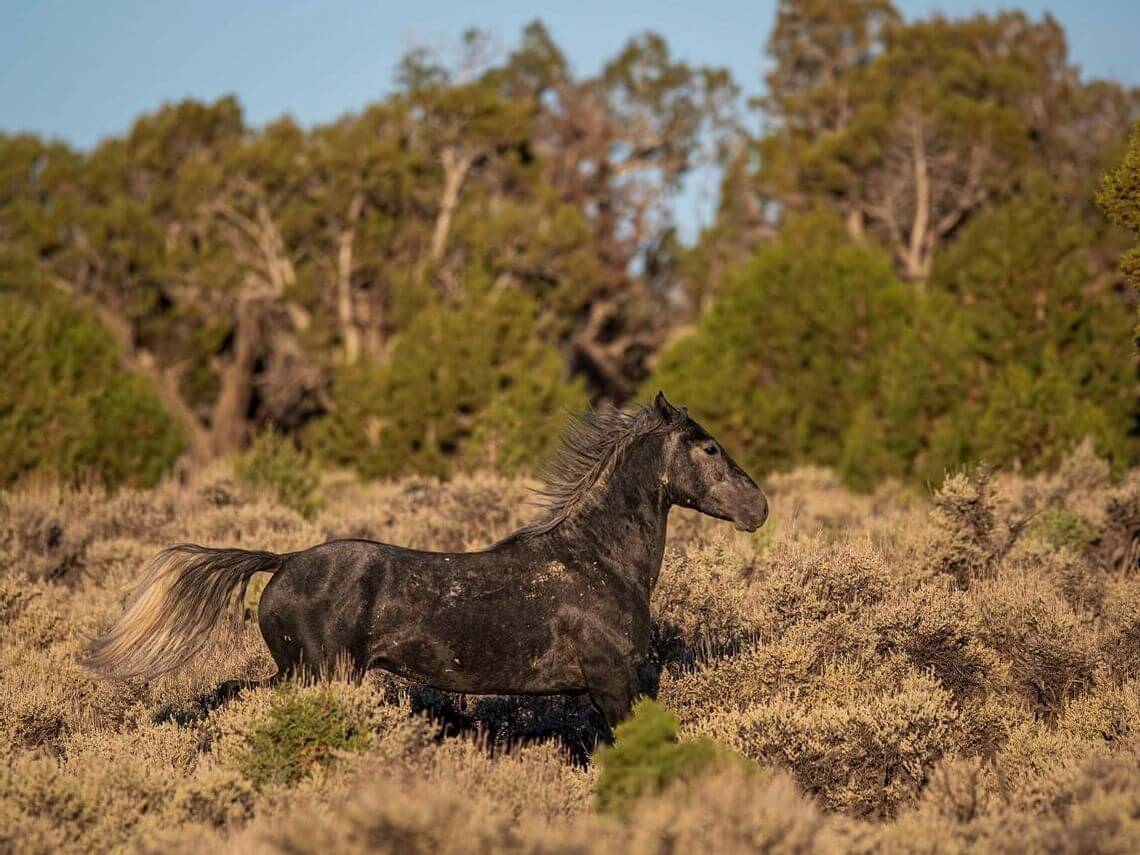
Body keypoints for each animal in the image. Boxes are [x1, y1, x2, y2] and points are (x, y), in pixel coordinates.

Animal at [86, 391, 768, 733]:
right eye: (708, 447)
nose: (759, 507)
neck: (597, 562)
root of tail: (285, 561)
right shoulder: (612, 683)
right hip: (316, 673)